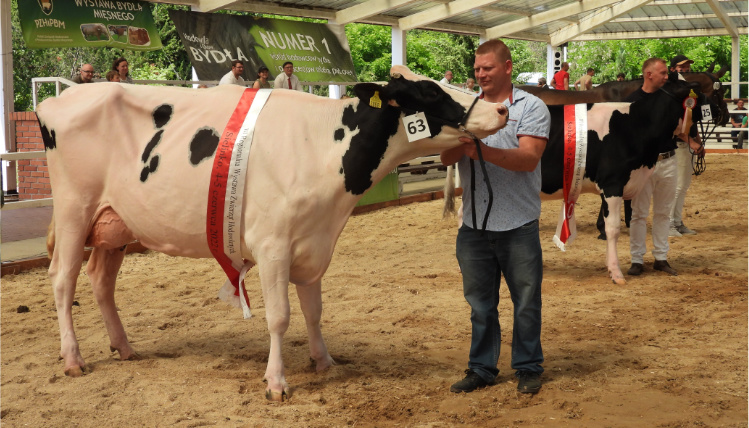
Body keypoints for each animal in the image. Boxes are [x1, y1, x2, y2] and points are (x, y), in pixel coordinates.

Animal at [39, 65, 508, 400]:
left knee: (101, 281)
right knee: (63, 280)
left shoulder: (315, 242)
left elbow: (314, 311)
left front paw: (324, 362)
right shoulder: (272, 246)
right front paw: (277, 382)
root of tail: (59, 98)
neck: (321, 146)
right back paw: (73, 358)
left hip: (114, 224)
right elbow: (280, 316)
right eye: (430, 93)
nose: (501, 109)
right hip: (74, 210)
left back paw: (124, 347)